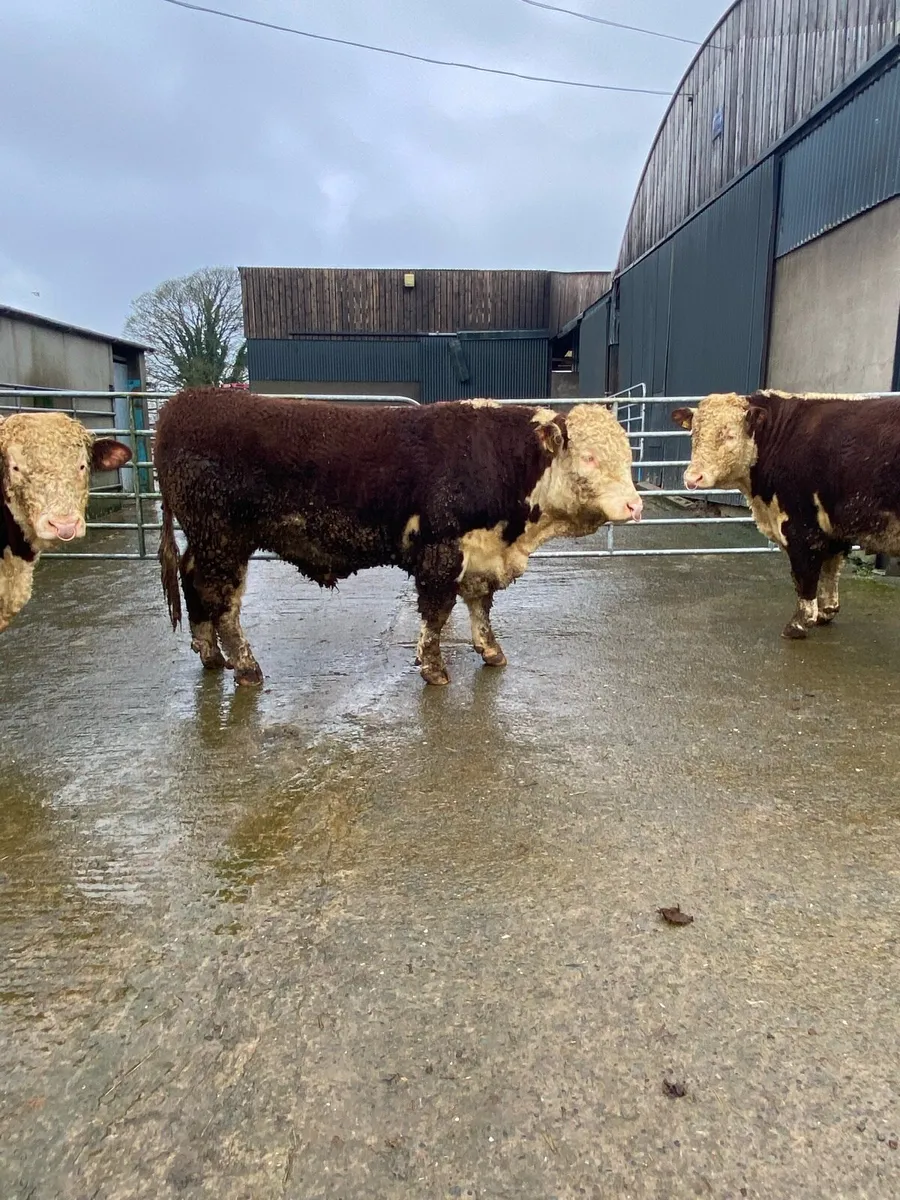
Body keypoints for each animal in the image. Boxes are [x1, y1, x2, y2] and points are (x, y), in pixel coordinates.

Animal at [154, 387, 643, 687]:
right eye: (590, 457)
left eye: (628, 455)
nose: (635, 506)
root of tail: (184, 402)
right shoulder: (441, 549)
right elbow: (437, 611)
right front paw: (434, 669)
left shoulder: (481, 551)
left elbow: (480, 604)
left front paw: (491, 651)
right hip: (224, 539)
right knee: (223, 602)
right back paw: (246, 667)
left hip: (207, 541)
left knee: (194, 583)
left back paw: (210, 655)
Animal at [672, 390, 900, 639]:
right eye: (694, 433)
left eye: (730, 435)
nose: (692, 477)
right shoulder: (834, 529)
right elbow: (830, 571)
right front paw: (826, 612)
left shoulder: (801, 529)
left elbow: (805, 578)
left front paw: (798, 624)